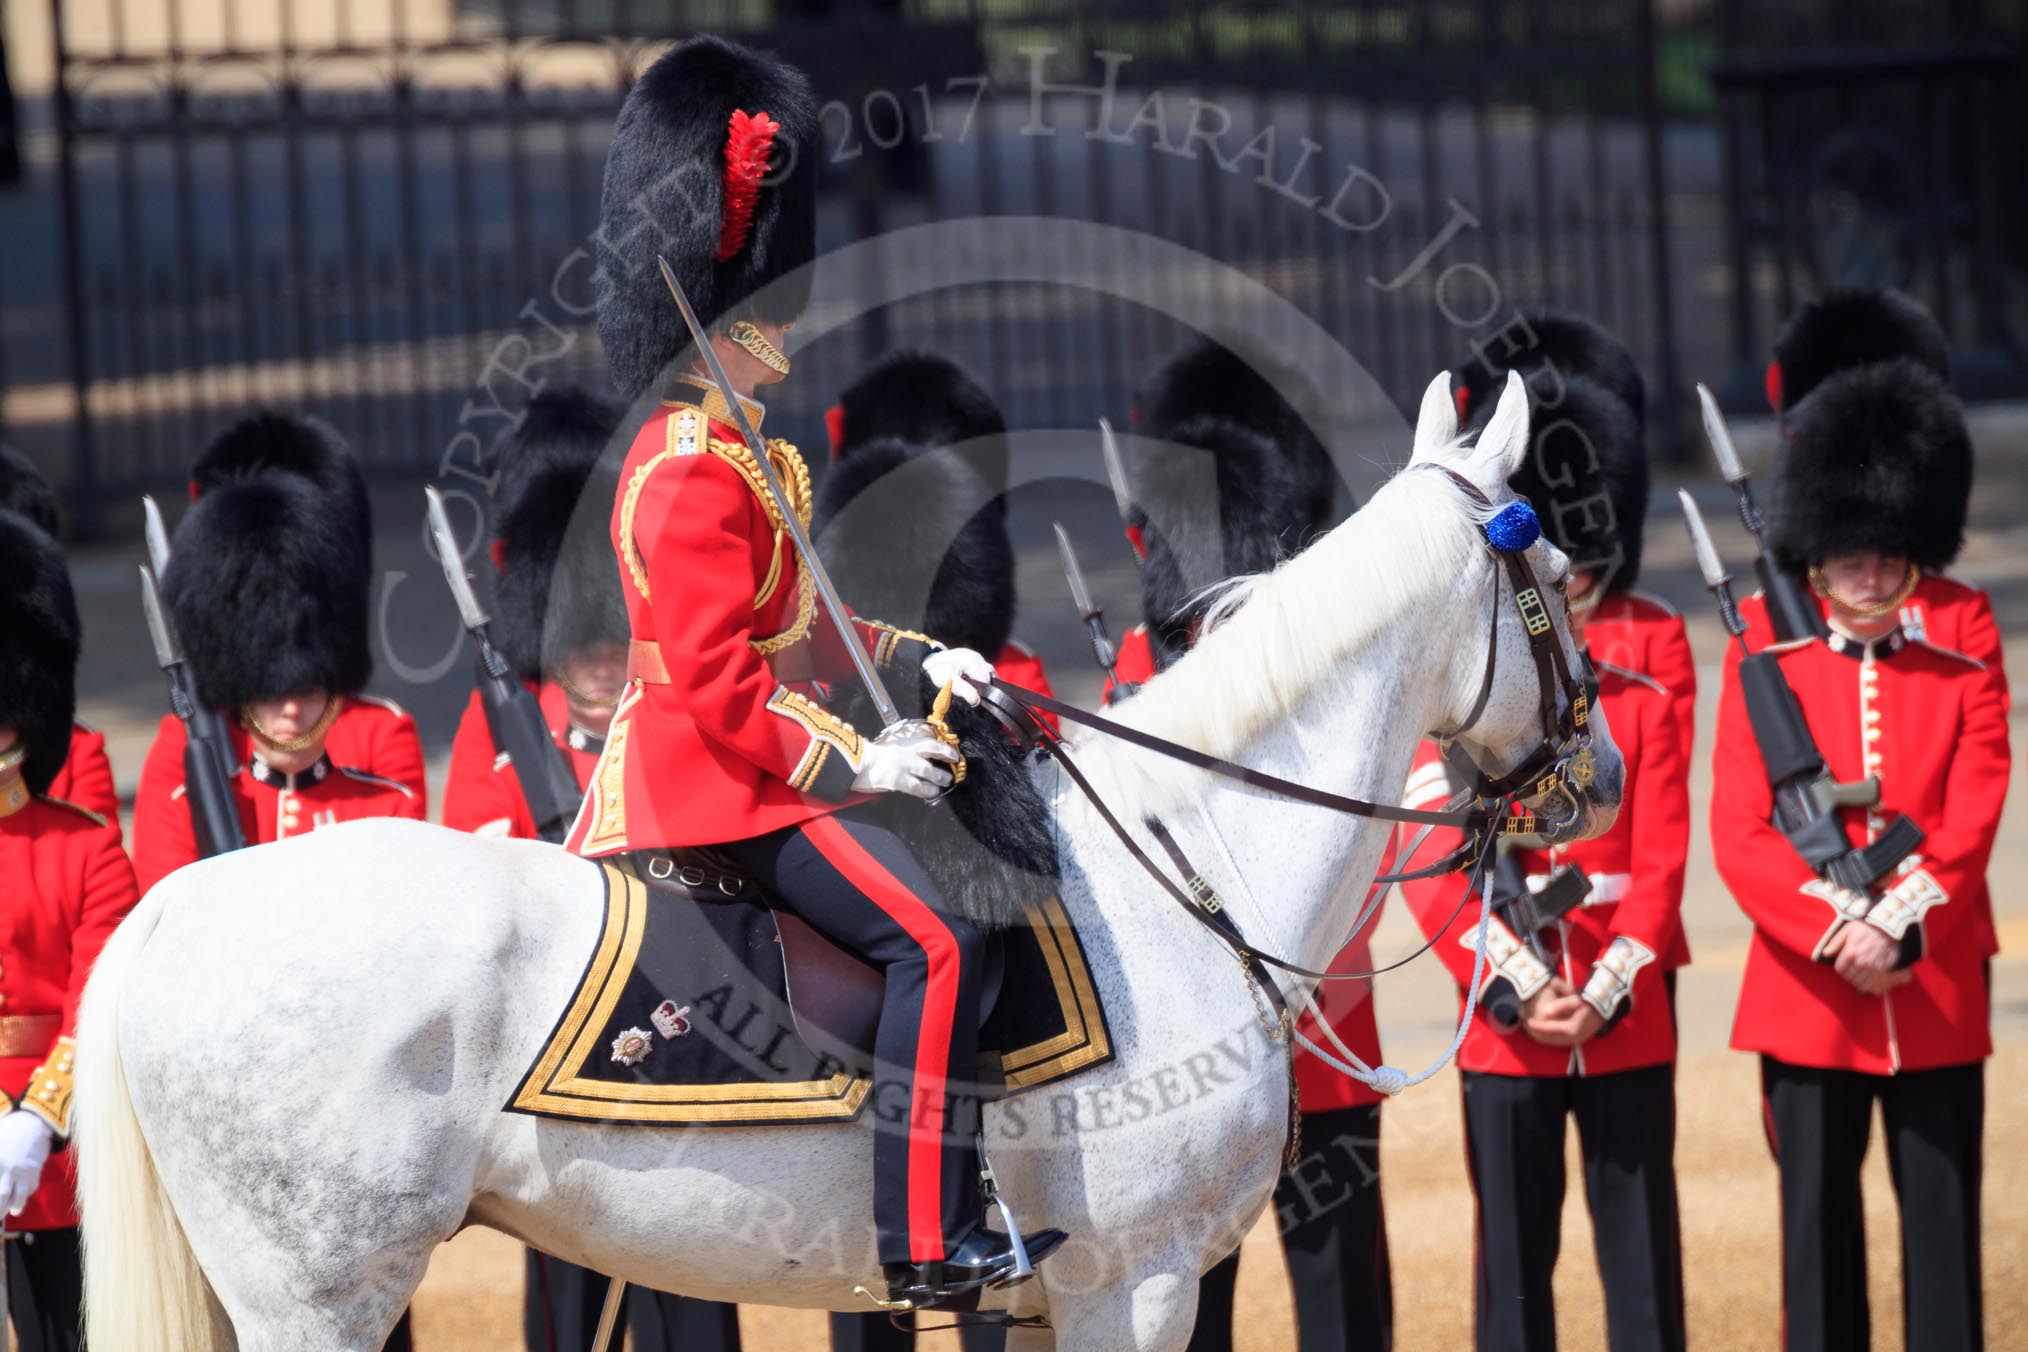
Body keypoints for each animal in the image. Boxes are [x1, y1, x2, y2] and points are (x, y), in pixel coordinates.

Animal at [74, 370, 1622, 1351]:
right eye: (1545, 578)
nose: (1597, 776)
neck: (1187, 872)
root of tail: (170, 913)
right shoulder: (1140, 1286)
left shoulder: (1060, 1305)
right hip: (315, 1295)